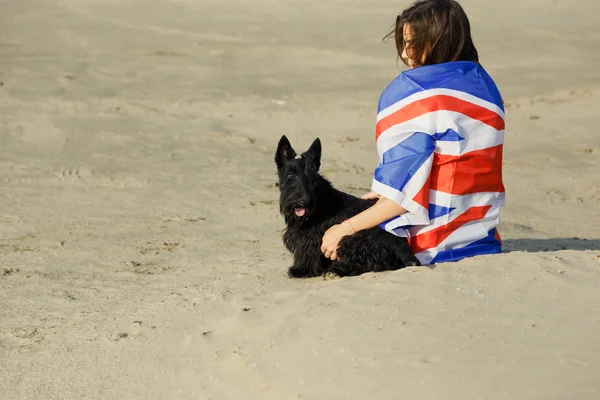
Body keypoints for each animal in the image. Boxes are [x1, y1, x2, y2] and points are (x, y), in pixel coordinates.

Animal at [276, 135, 420, 278]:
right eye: (291, 174)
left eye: (312, 177)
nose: (305, 202)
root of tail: (404, 247)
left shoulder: (311, 239)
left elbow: (307, 253)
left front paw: (301, 270)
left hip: (349, 240)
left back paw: (334, 270)